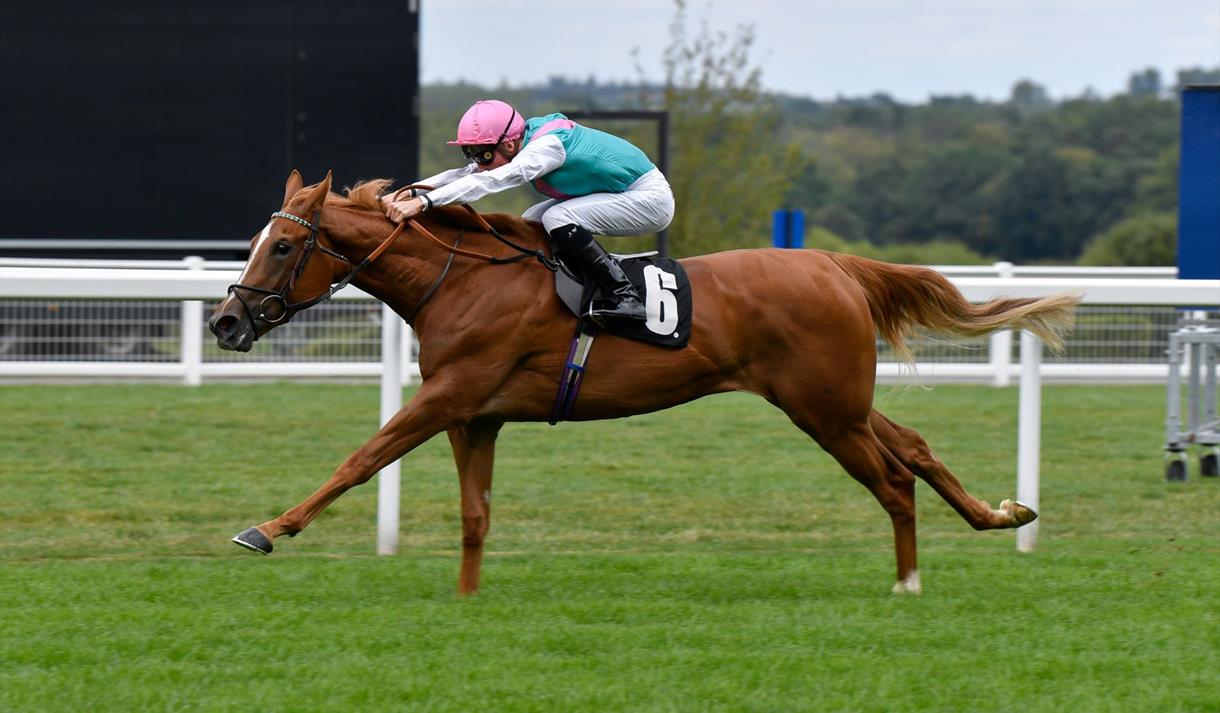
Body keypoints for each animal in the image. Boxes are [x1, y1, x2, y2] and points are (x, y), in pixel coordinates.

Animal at [209, 172, 1078, 595]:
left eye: (282, 247)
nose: (225, 322)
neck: (459, 278)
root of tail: (836, 264)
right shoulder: (475, 415)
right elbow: (474, 515)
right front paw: (466, 599)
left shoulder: (448, 395)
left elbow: (360, 459)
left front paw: (268, 527)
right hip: (840, 401)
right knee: (917, 447)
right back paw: (1000, 513)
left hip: (825, 410)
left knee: (893, 480)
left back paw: (907, 582)